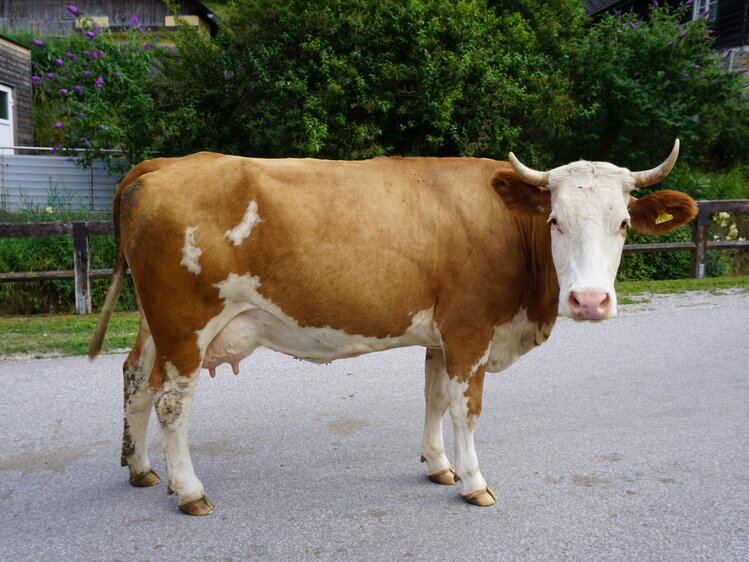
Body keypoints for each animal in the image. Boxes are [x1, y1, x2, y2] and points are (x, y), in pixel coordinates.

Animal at [90, 139, 700, 512]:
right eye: (555, 220)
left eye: (623, 224)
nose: (590, 300)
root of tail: (163, 164)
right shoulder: (470, 330)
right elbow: (466, 409)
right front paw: (474, 481)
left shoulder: (440, 336)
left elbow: (433, 398)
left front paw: (438, 466)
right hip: (186, 324)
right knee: (173, 402)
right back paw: (188, 489)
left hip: (156, 324)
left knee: (135, 380)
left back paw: (140, 468)